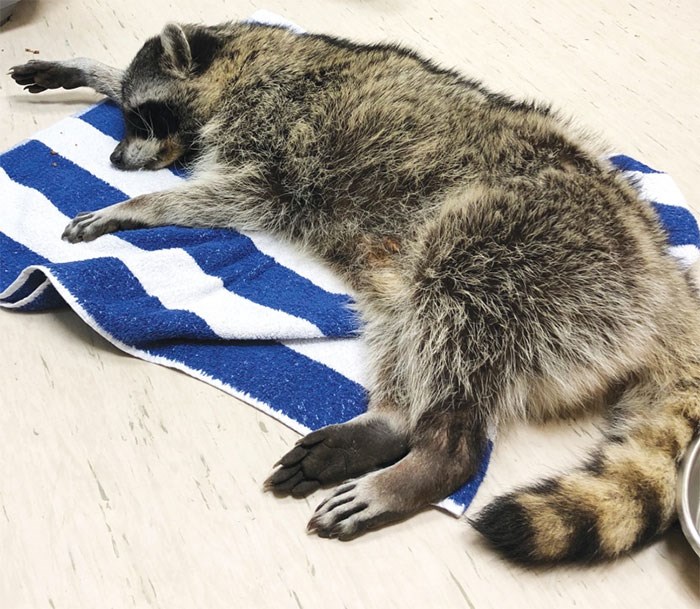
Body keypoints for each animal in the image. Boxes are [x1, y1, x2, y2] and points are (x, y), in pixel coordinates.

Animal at [10, 19, 700, 564]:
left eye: (142, 116)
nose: (117, 161)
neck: (242, 56)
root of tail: (663, 273)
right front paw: (85, 66)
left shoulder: (281, 142)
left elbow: (240, 194)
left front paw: (137, 206)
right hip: (424, 268)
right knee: (407, 319)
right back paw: (390, 422)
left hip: (526, 242)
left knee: (456, 304)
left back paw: (433, 455)